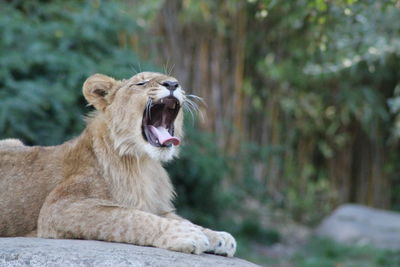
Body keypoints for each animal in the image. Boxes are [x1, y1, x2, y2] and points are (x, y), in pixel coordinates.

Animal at [0, 71, 236, 258]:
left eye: (174, 80)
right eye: (141, 83)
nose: (173, 84)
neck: (143, 163)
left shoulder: (155, 205)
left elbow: (181, 218)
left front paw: (218, 236)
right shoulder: (59, 207)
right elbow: (129, 218)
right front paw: (185, 235)